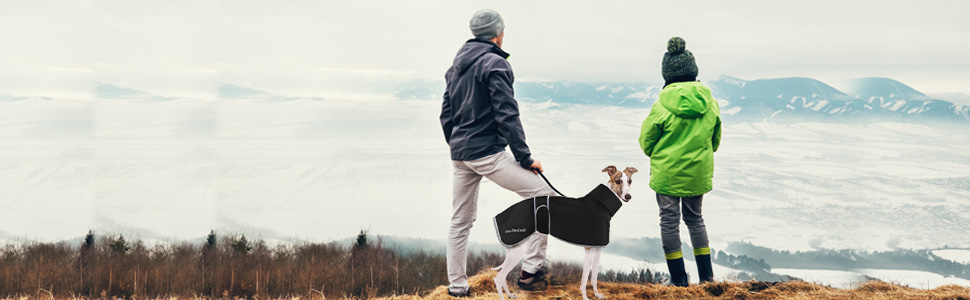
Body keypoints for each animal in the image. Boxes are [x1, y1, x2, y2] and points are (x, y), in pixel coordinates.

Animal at [492, 166, 636, 300]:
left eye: (630, 181)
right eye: (618, 181)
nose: (628, 197)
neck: (601, 204)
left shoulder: (597, 249)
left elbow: (594, 276)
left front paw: (597, 294)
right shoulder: (589, 250)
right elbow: (584, 278)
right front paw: (585, 297)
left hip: (514, 252)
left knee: (503, 276)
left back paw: (510, 295)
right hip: (518, 251)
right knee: (498, 278)